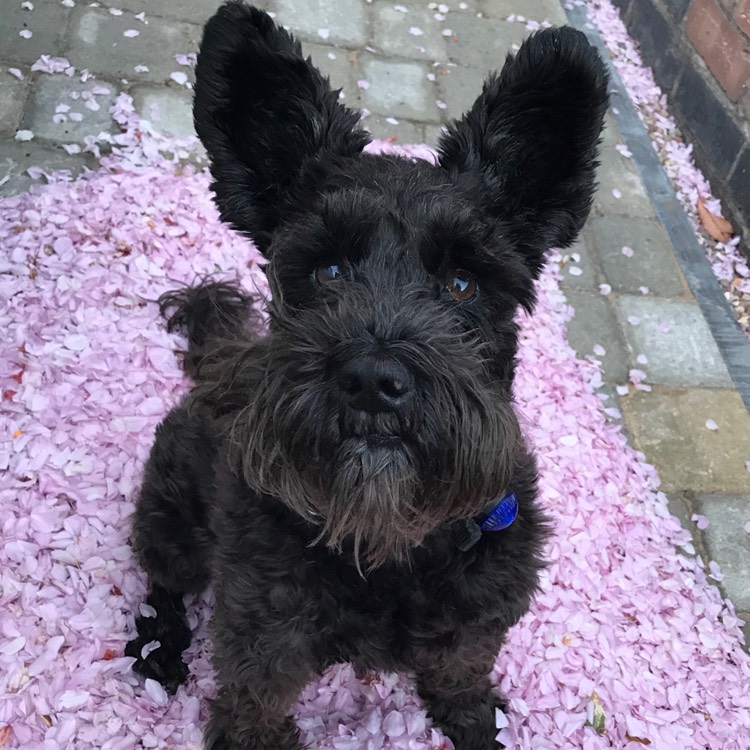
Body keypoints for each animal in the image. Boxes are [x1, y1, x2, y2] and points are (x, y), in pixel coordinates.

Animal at [125, 2, 612, 748]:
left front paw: (474, 721)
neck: (386, 540)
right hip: (171, 521)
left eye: (464, 283)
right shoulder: (264, 631)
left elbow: (461, 670)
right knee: (164, 581)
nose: (374, 381)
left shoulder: (477, 614)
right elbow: (252, 703)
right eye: (327, 270)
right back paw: (160, 646)